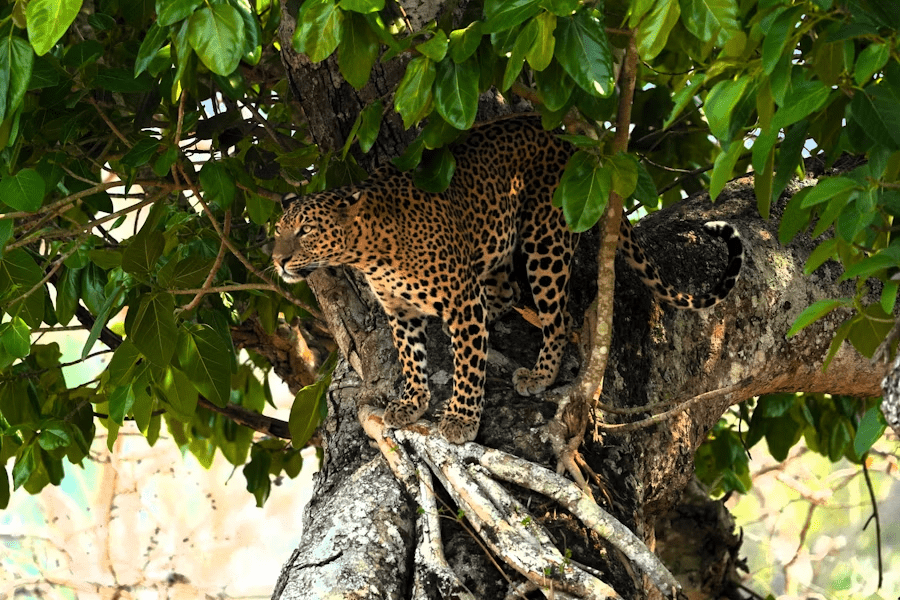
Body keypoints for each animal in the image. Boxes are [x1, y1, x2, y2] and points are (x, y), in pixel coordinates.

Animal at [270, 116, 740, 446]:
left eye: (306, 231)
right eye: (278, 229)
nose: (277, 259)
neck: (370, 250)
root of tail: (565, 139)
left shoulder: (459, 301)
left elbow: (466, 365)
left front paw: (460, 419)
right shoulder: (399, 310)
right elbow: (410, 359)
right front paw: (411, 403)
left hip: (545, 242)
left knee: (558, 317)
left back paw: (541, 375)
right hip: (497, 243)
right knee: (506, 291)